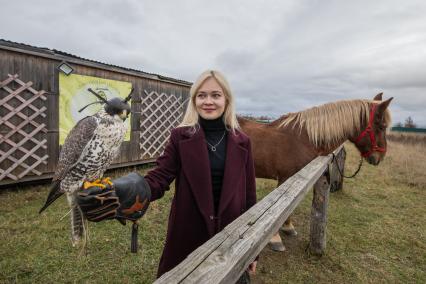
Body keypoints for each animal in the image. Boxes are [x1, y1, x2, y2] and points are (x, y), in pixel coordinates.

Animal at [240, 92, 392, 251]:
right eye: (381, 126)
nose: (380, 157)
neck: (303, 139)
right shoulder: (285, 179)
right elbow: (278, 211)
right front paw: (276, 238)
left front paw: (288, 228)